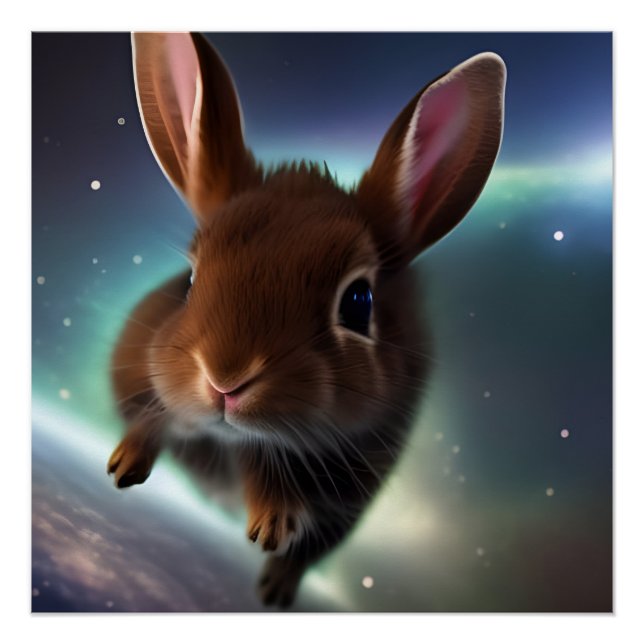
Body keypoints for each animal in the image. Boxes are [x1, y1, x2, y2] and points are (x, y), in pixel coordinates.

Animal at [107, 32, 506, 608]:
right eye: (190, 279)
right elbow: (155, 418)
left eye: (358, 301)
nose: (224, 380)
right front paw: (123, 464)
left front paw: (272, 529)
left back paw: (274, 590)